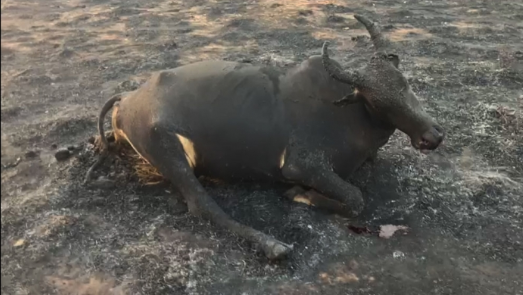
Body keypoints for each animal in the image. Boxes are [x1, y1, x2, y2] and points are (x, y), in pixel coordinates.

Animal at [92, 15, 444, 262]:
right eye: (377, 101)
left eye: (405, 85)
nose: (432, 137)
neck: (348, 111)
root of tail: (126, 101)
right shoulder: (302, 165)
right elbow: (355, 199)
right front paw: (300, 195)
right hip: (167, 150)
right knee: (203, 206)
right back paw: (274, 246)